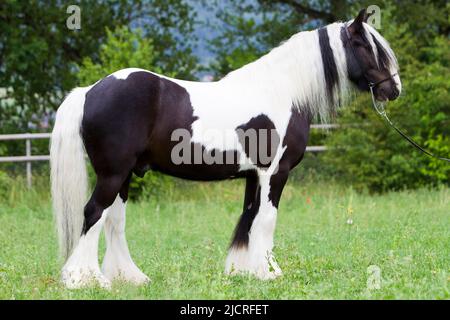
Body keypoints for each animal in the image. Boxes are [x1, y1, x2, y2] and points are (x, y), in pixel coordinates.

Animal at [50, 10, 400, 288]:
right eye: (365, 47)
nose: (394, 89)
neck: (282, 91)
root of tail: (89, 91)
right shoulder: (275, 172)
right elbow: (266, 220)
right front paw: (269, 273)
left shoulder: (253, 175)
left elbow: (248, 219)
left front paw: (243, 271)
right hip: (113, 174)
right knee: (93, 213)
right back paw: (85, 279)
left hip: (124, 176)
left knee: (113, 221)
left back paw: (129, 278)